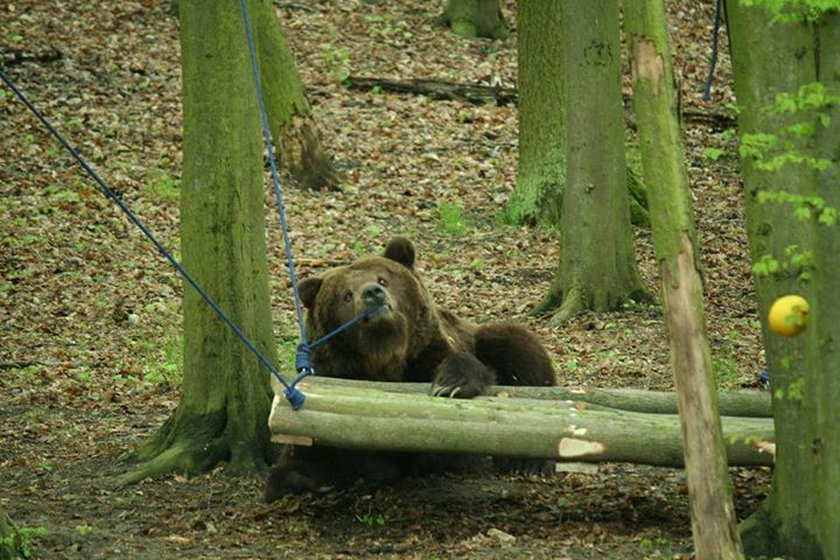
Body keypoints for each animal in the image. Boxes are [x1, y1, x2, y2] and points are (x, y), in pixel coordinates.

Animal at [266, 236, 556, 504]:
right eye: (346, 295)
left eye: (383, 279)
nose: (372, 293)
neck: (385, 357)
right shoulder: (333, 376)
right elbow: (308, 449)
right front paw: (303, 476)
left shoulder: (427, 355)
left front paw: (450, 385)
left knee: (517, 345)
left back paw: (530, 462)